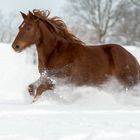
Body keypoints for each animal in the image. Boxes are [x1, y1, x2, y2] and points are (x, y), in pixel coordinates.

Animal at [11, 9, 140, 101]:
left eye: (28, 28)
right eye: (19, 27)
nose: (15, 46)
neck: (56, 52)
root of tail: (133, 59)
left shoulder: (63, 81)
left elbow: (40, 90)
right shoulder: (46, 77)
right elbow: (31, 87)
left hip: (126, 83)